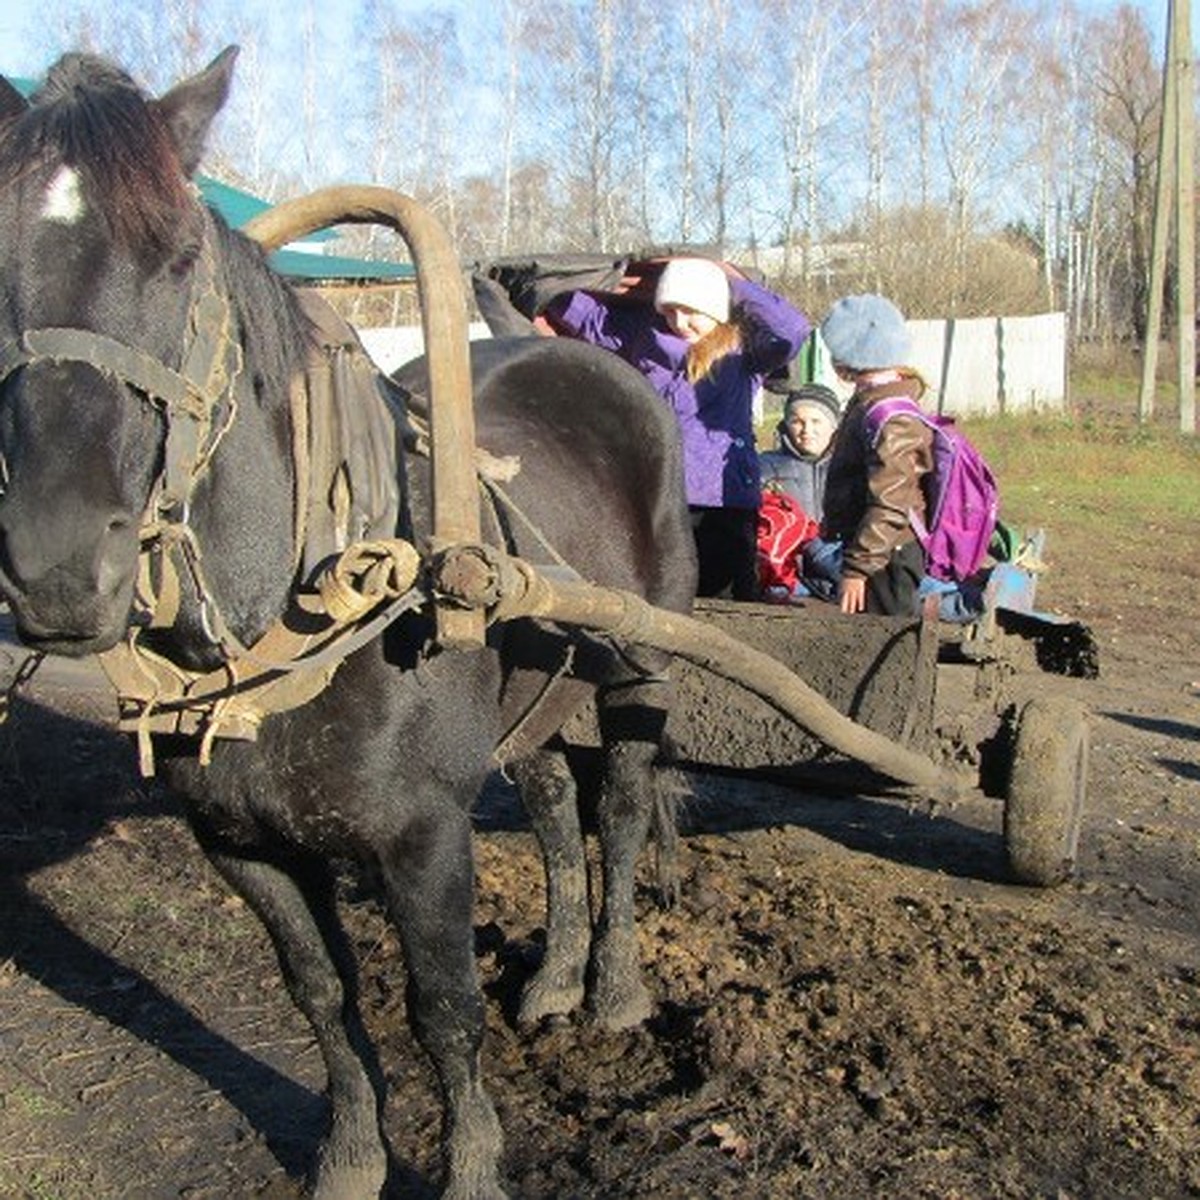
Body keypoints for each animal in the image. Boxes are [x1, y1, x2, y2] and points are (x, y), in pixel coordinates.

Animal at [0, 46, 696, 1200]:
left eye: (180, 256)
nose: (56, 567)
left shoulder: (423, 835)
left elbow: (443, 1013)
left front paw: (471, 1170)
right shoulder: (239, 844)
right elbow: (321, 993)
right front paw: (353, 1157)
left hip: (644, 662)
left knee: (625, 809)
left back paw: (613, 992)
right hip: (535, 695)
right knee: (557, 810)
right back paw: (554, 978)